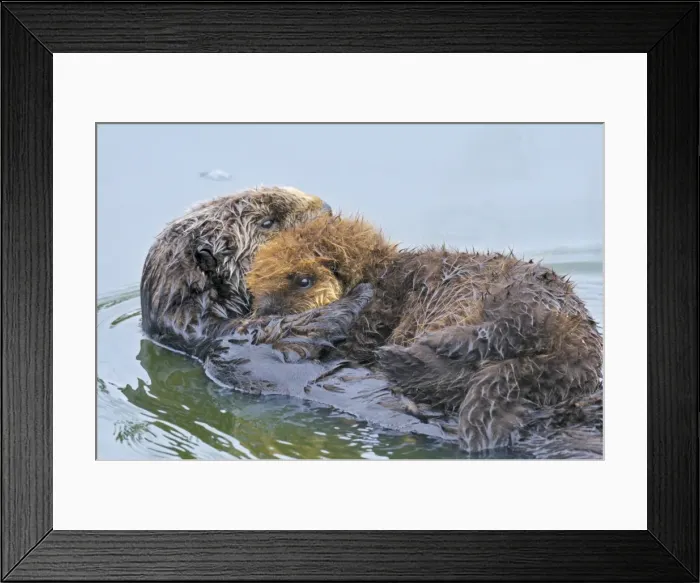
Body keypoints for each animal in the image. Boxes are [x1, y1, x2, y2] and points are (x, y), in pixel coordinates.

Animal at [243, 214, 603, 454]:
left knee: (487, 340)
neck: (380, 276)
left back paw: (418, 351)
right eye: (257, 287)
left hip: (512, 300)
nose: (266, 313)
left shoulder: (375, 315)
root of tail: (573, 345)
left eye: (302, 281)